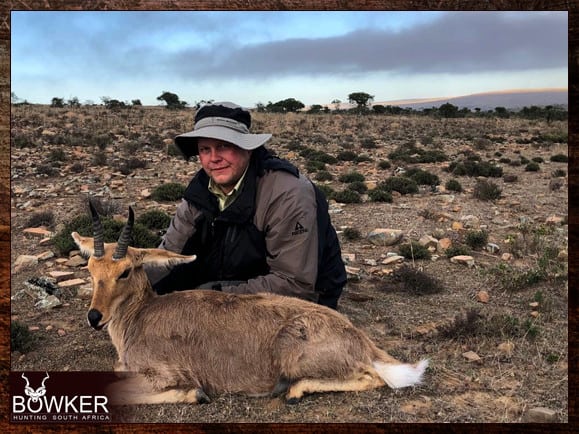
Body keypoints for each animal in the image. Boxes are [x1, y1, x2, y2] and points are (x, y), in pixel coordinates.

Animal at [71, 202, 430, 406]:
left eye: (125, 271)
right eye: (90, 269)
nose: (95, 317)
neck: (142, 316)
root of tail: (360, 339)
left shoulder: (160, 374)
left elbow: (116, 390)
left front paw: (195, 395)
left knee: (374, 378)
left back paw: (295, 392)